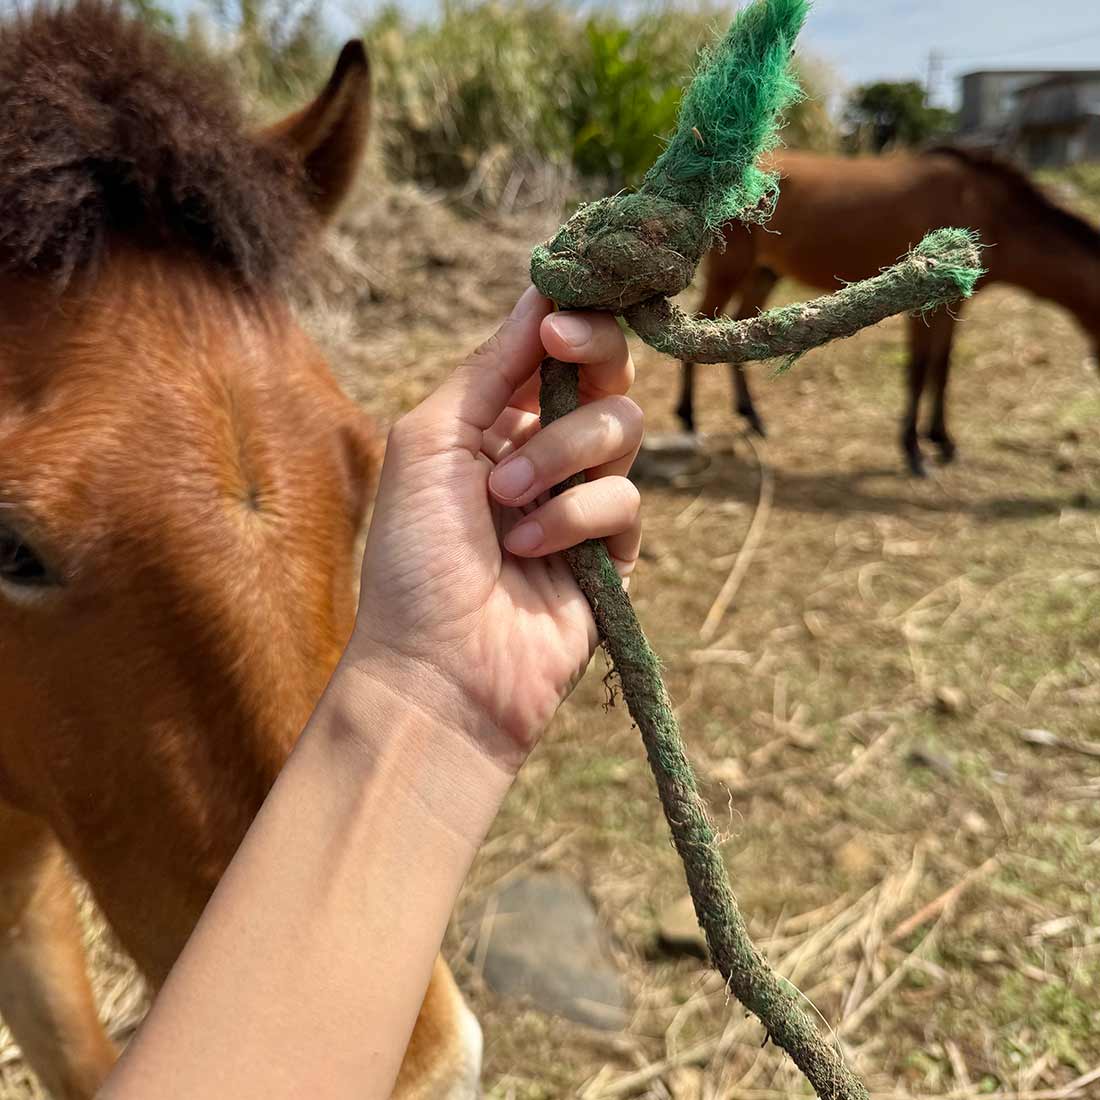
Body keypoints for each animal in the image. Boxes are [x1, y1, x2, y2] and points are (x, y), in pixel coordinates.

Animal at [676, 147, 1100, 476]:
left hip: (765, 272)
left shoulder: (953, 305)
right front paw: (914, 450)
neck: (988, 207)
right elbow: (918, 369)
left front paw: (943, 441)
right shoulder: (922, 306)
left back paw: (753, 417)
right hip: (731, 268)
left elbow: (942, 367)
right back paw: (689, 418)